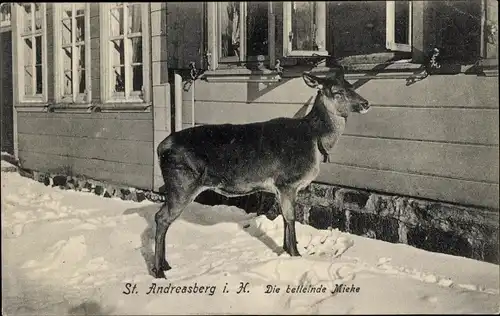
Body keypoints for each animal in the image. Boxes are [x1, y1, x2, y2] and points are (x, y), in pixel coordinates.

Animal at [153, 68, 372, 278]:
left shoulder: (282, 188)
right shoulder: (287, 182)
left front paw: (286, 250)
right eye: (337, 91)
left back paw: (165, 264)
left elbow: (284, 218)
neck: (315, 139)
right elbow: (290, 218)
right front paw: (295, 254)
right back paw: (159, 271)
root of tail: (160, 147)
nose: (366, 103)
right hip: (182, 183)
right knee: (161, 217)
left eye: (351, 85)